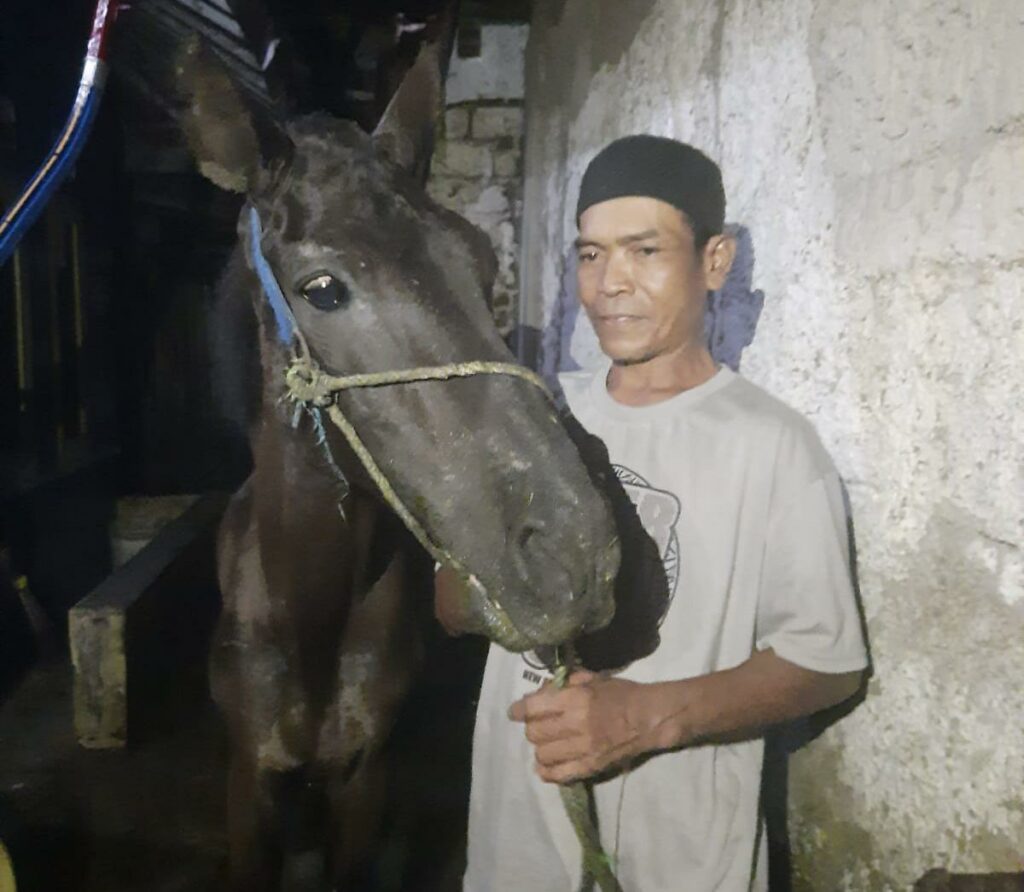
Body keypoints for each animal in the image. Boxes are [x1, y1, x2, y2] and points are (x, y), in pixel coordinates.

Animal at [169, 29, 614, 892]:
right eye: (322, 289)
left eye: (481, 262)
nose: (576, 555)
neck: (308, 617)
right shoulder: (247, 781)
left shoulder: (364, 776)